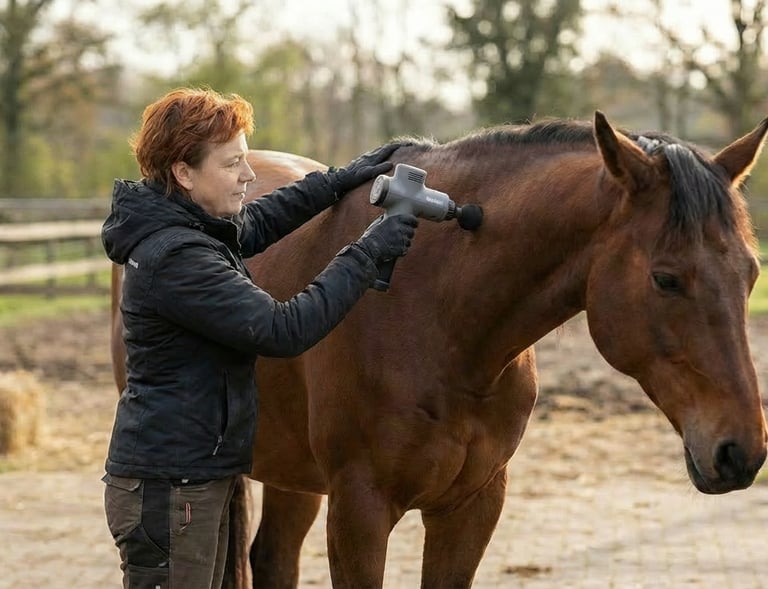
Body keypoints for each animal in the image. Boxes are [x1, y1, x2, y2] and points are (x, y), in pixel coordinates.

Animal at [110, 112, 768, 589]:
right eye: (666, 279)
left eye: (751, 273)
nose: (741, 452)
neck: (446, 325)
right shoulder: (360, 512)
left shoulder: (471, 506)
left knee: (272, 558)